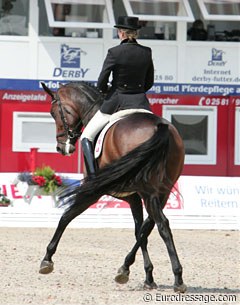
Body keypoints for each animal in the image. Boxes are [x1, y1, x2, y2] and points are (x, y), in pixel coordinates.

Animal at [39, 81, 187, 292]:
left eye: (54, 113)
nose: (62, 148)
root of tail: (161, 127)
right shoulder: (133, 197)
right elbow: (140, 230)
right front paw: (145, 275)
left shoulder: (98, 189)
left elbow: (66, 216)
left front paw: (47, 259)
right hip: (161, 192)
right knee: (152, 225)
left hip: (148, 192)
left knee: (163, 225)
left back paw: (178, 278)